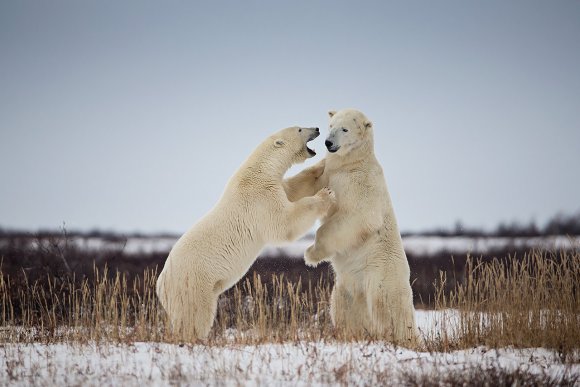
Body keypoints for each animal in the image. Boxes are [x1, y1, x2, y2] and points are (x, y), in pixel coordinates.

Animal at [284, 110, 416, 348]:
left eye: (344, 129)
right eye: (331, 125)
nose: (328, 143)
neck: (351, 163)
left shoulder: (361, 183)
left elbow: (358, 216)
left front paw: (311, 254)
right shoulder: (329, 172)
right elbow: (308, 184)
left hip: (381, 276)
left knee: (390, 310)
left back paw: (407, 340)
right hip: (347, 286)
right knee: (344, 310)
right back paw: (352, 334)